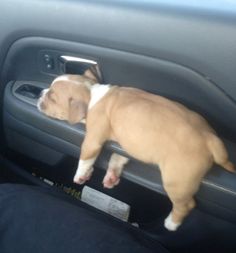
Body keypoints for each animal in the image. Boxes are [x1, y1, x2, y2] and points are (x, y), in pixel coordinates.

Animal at [37, 73, 234, 231]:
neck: (91, 94)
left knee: (187, 204)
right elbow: (117, 158)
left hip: (177, 181)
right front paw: (111, 176)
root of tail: (210, 138)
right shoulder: (123, 142)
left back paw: (172, 223)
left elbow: (85, 158)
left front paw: (80, 175)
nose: (40, 93)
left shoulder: (92, 140)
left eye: (52, 98)